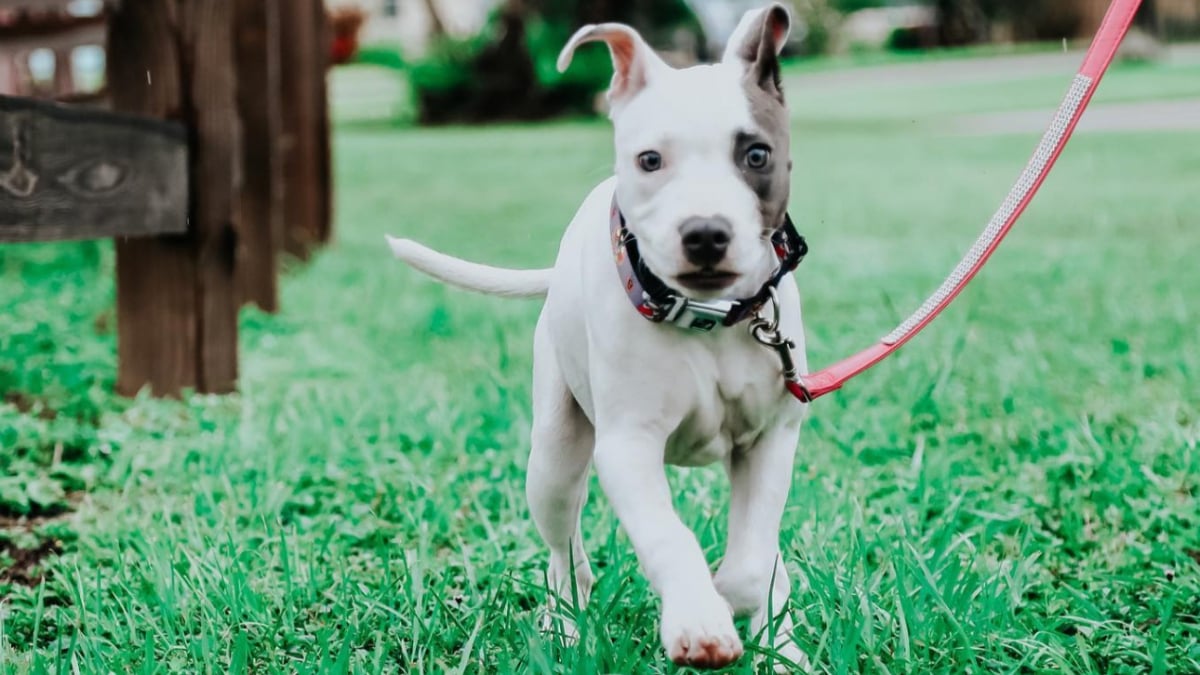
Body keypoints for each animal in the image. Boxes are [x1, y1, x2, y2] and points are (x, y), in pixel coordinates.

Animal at [388, 5, 811, 667]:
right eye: (649, 160)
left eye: (758, 155)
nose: (705, 233)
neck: (708, 317)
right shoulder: (628, 446)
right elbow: (668, 537)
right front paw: (700, 618)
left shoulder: (772, 438)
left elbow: (752, 561)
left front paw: (736, 601)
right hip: (554, 459)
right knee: (565, 553)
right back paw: (565, 624)